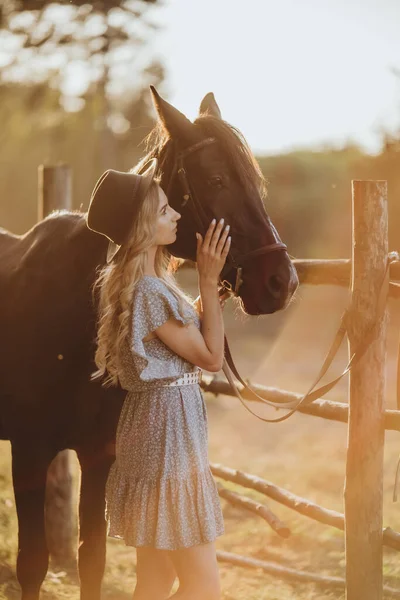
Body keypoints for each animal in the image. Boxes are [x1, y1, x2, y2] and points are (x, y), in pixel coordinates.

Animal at [0, 85, 296, 600]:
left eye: (254, 182)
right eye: (216, 178)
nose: (282, 281)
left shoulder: (98, 454)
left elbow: (92, 558)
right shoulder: (30, 451)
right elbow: (33, 563)